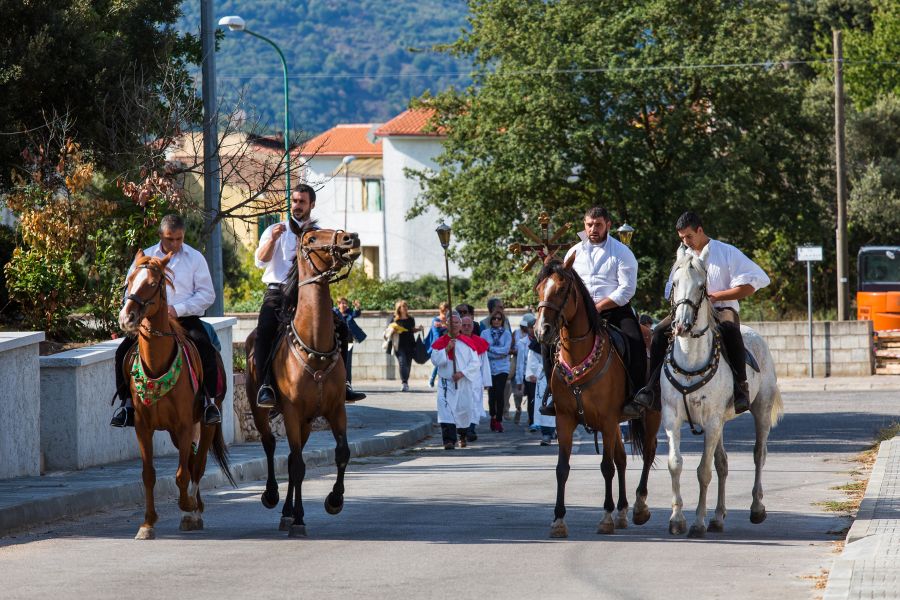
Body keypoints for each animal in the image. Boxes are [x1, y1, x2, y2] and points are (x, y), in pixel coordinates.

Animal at [118, 251, 234, 540]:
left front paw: (187, 506)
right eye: (129, 281)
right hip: (173, 431)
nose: (127, 318)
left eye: (152, 283)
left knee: (198, 464)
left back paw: (194, 511)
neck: (156, 366)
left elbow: (182, 474)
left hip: (206, 422)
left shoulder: (183, 426)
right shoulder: (143, 427)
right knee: (192, 460)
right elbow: (148, 474)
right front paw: (147, 524)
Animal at [246, 227, 362, 536]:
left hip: (307, 422)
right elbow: (298, 465)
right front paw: (298, 518)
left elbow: (342, 452)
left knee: (289, 458)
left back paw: (287, 511)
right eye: (311, 239)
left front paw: (334, 500)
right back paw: (273, 497)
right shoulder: (291, 411)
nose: (351, 238)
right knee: (270, 445)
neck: (314, 344)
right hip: (263, 411)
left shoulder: (336, 410)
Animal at [536, 254, 660, 540]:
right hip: (616, 423)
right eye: (539, 289)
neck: (578, 357)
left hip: (650, 414)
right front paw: (558, 521)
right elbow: (562, 468)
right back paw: (623, 511)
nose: (542, 330)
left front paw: (605, 517)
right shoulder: (565, 420)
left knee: (648, 453)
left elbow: (606, 467)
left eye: (561, 289)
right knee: (623, 459)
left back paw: (639, 507)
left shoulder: (606, 419)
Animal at [660, 244, 780, 540]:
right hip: (721, 424)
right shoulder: (672, 418)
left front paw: (698, 523)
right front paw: (677, 519)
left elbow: (703, 470)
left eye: (702, 286)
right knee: (723, 463)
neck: (691, 360)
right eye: (674, 283)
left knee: (759, 454)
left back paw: (756, 508)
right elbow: (676, 463)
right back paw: (718, 517)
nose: (681, 325)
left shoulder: (712, 421)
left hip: (759, 410)